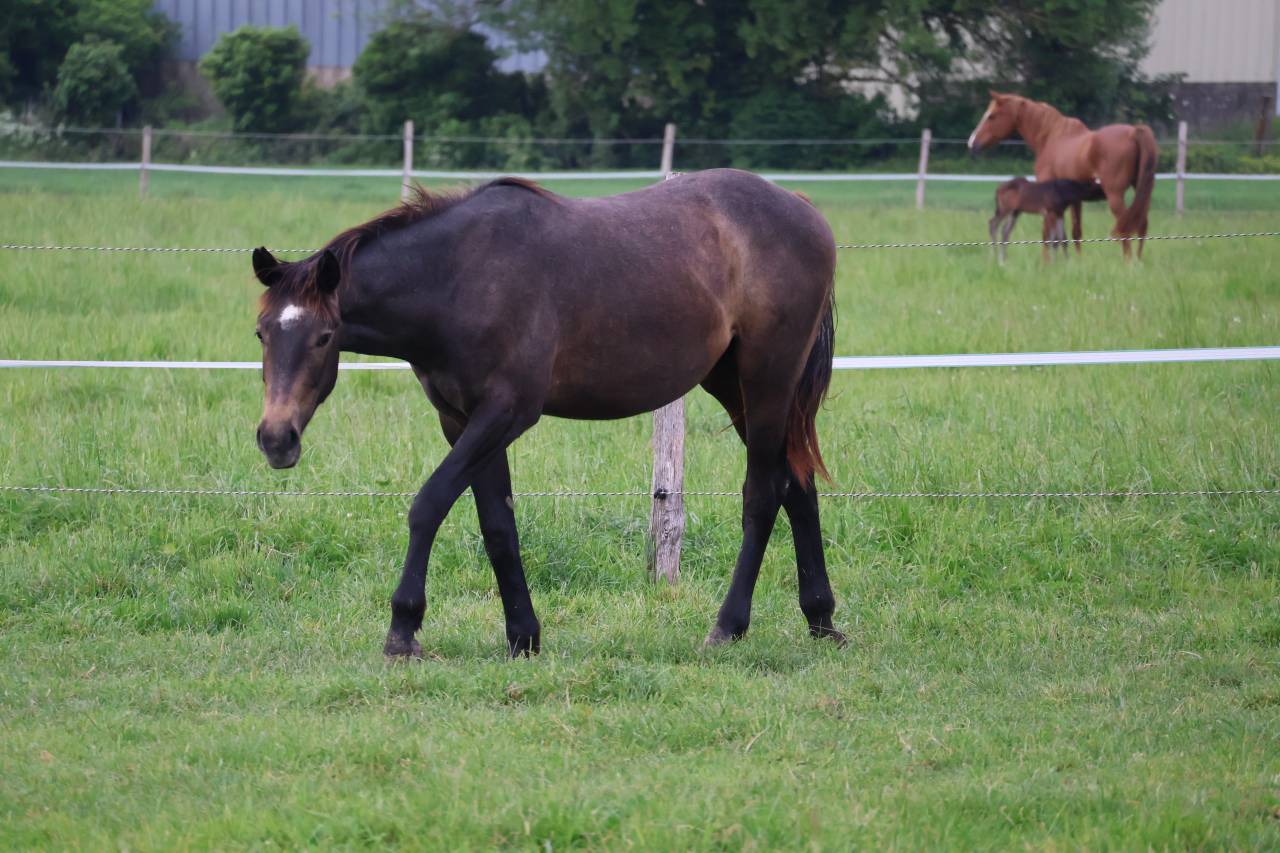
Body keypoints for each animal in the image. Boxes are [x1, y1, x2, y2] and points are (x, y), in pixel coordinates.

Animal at [251, 169, 844, 659]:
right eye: (261, 334)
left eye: (324, 336)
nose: (276, 439)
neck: (458, 279)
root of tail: (802, 207)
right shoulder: (463, 421)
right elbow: (497, 525)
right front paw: (523, 636)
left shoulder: (506, 413)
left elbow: (429, 505)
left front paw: (403, 628)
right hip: (733, 384)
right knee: (796, 485)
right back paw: (821, 619)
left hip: (767, 381)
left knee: (763, 494)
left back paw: (728, 627)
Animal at [967, 92, 1158, 259]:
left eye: (991, 116)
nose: (972, 143)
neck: (1051, 136)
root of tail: (1134, 131)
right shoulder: (1073, 200)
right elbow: (1074, 233)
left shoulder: (1048, 199)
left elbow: (1048, 234)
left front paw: (1046, 262)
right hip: (1142, 192)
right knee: (1142, 224)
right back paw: (1138, 261)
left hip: (1115, 195)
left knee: (1125, 227)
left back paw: (1128, 264)